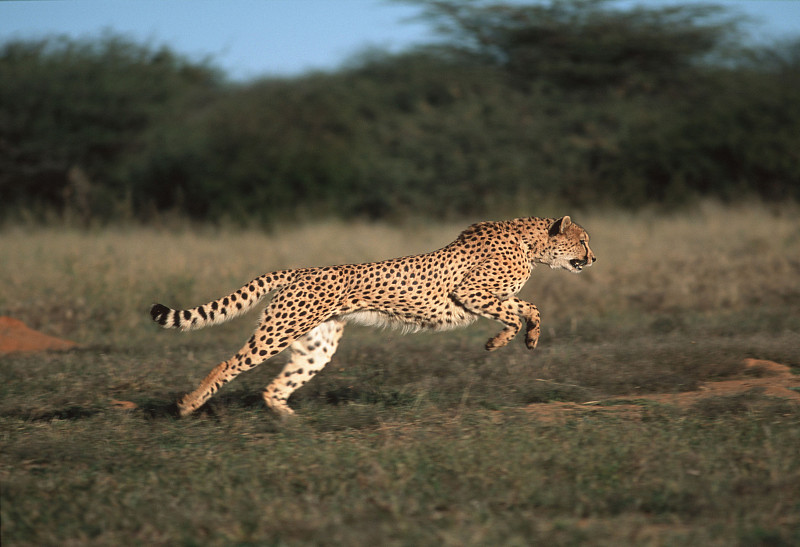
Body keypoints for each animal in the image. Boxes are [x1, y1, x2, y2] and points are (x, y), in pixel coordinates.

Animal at [150, 215, 595, 416]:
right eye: (584, 241)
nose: (593, 258)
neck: (530, 242)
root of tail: (301, 270)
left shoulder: (482, 296)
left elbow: (524, 308)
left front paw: (519, 338)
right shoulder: (470, 292)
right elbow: (525, 309)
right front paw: (509, 339)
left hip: (318, 343)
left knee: (275, 387)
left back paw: (295, 425)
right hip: (279, 331)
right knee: (227, 365)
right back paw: (189, 404)